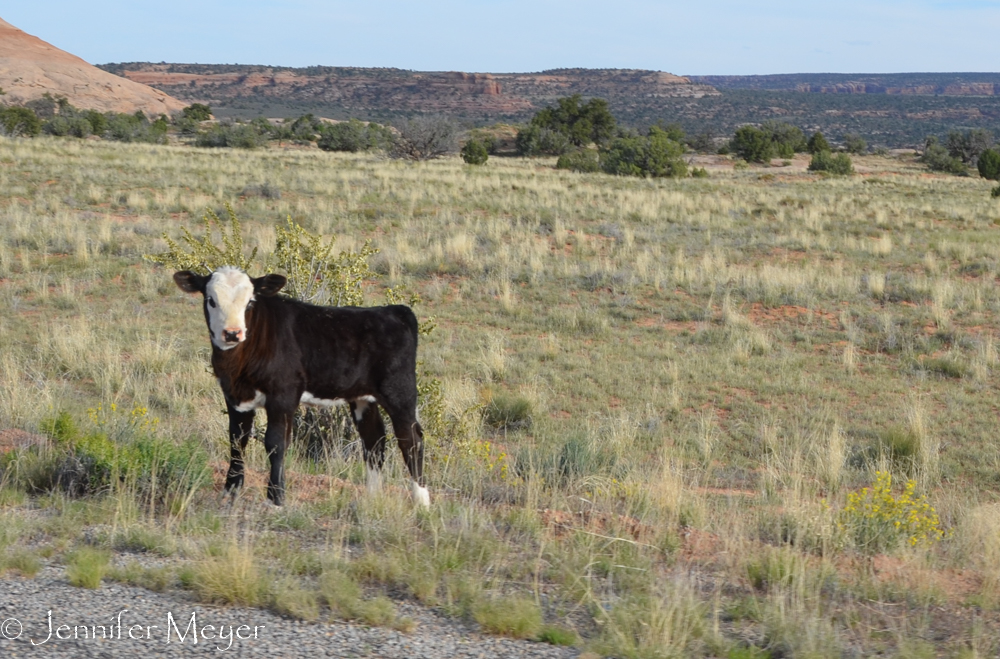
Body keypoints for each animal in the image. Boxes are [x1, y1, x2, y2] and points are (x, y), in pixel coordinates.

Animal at [173, 266, 428, 507]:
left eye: (250, 302)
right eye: (211, 300)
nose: (233, 333)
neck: (238, 365)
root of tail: (394, 310)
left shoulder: (283, 395)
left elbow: (275, 443)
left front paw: (275, 498)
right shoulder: (234, 395)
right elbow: (237, 440)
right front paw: (230, 492)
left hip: (399, 391)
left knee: (410, 439)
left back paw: (422, 501)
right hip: (363, 397)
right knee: (374, 440)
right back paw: (371, 498)